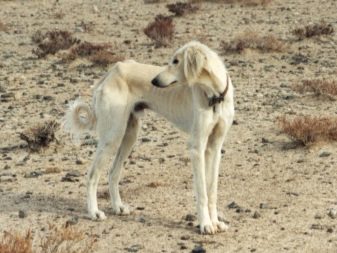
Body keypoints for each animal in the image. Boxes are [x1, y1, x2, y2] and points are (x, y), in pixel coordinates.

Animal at [65, 41, 234, 233]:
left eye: (176, 61)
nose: (154, 81)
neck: (215, 95)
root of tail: (111, 71)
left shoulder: (215, 147)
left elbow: (211, 190)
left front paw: (216, 222)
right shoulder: (196, 147)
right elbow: (202, 192)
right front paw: (205, 224)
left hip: (129, 135)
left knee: (113, 172)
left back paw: (118, 207)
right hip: (112, 136)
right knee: (92, 175)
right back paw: (94, 212)